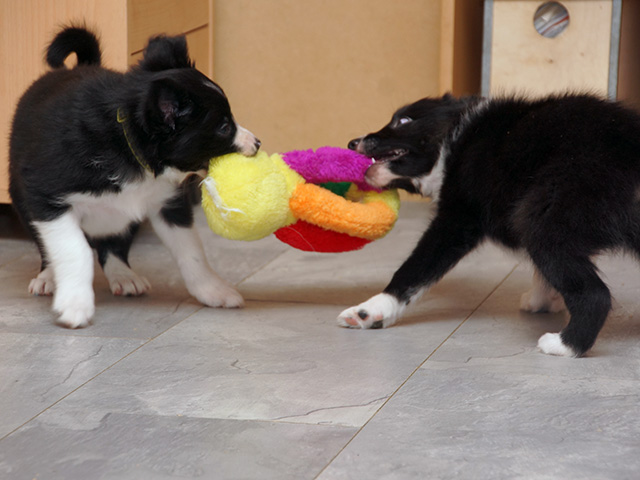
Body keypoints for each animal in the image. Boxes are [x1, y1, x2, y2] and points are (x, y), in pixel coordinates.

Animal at [9, 26, 260, 328]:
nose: (257, 143)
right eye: (223, 127)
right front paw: (74, 306)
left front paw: (214, 291)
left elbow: (192, 251)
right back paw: (48, 277)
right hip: (21, 196)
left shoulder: (168, 202)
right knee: (46, 245)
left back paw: (123, 275)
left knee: (115, 243)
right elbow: (74, 250)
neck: (127, 147)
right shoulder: (45, 196)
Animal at [338, 93, 640, 357]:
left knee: (595, 294)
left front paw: (368, 311)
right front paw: (544, 298)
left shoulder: (457, 220)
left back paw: (565, 345)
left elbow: (415, 270)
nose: (352, 142)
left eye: (403, 120)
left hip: (544, 215)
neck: (455, 138)